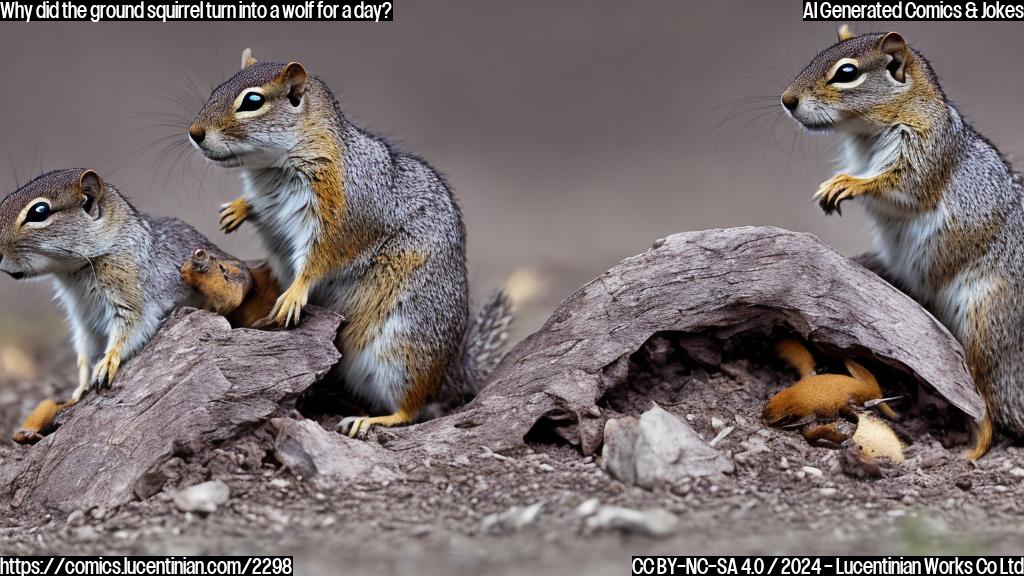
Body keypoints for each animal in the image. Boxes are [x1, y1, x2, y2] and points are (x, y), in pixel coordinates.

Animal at [188, 49, 512, 434]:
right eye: (217, 88)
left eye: (252, 101)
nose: (194, 133)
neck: (271, 170)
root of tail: (453, 372)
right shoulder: (270, 206)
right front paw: (237, 209)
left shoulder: (344, 211)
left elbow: (321, 257)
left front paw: (295, 293)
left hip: (403, 343)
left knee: (413, 407)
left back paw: (371, 419)